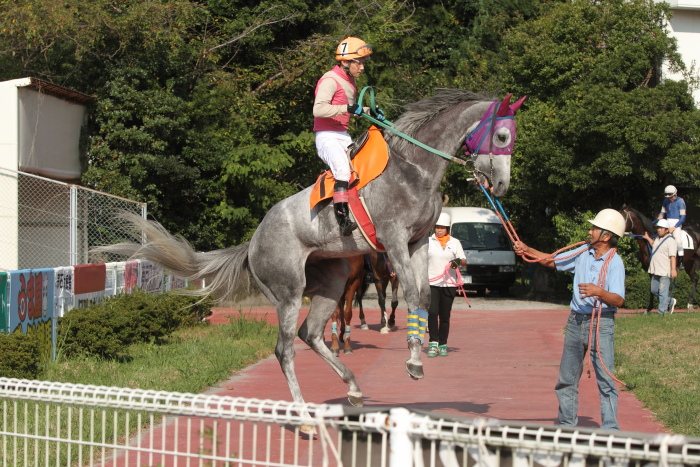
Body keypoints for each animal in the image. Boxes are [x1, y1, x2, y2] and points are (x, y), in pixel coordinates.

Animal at [101, 88, 524, 410]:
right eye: (503, 137)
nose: (502, 185)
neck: (414, 168)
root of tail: (253, 240)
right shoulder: (394, 241)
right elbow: (413, 294)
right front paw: (414, 361)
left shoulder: (417, 242)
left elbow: (419, 295)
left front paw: (416, 357)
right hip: (288, 293)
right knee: (285, 348)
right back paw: (304, 414)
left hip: (332, 283)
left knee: (311, 333)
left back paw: (352, 386)